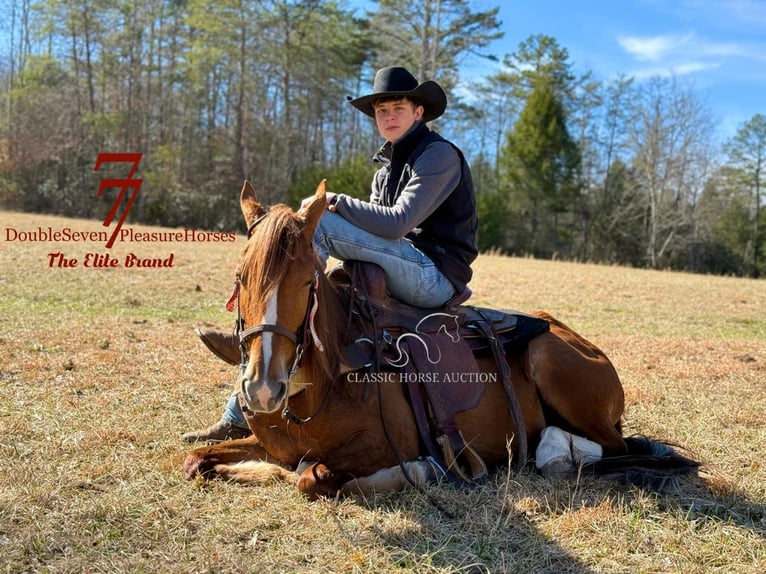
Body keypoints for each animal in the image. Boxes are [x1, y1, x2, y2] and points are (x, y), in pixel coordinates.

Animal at [183, 181, 700, 500]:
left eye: (308, 280)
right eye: (239, 277)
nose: (261, 389)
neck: (321, 383)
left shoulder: (381, 446)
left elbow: (309, 478)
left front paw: (421, 470)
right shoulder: (267, 441)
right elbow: (198, 460)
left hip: (549, 361)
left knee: (614, 447)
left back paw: (552, 452)